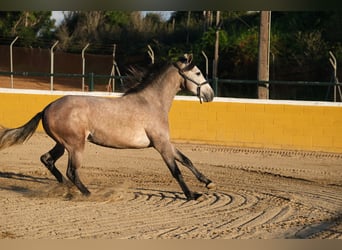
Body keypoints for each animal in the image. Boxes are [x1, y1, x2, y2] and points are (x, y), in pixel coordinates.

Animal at [0, 53, 215, 200]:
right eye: (198, 72)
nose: (210, 94)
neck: (152, 102)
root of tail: (46, 108)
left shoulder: (165, 142)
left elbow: (186, 160)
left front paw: (208, 183)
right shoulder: (160, 144)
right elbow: (175, 170)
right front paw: (191, 195)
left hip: (62, 144)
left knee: (48, 160)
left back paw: (67, 189)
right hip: (75, 145)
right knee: (71, 171)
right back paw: (88, 193)